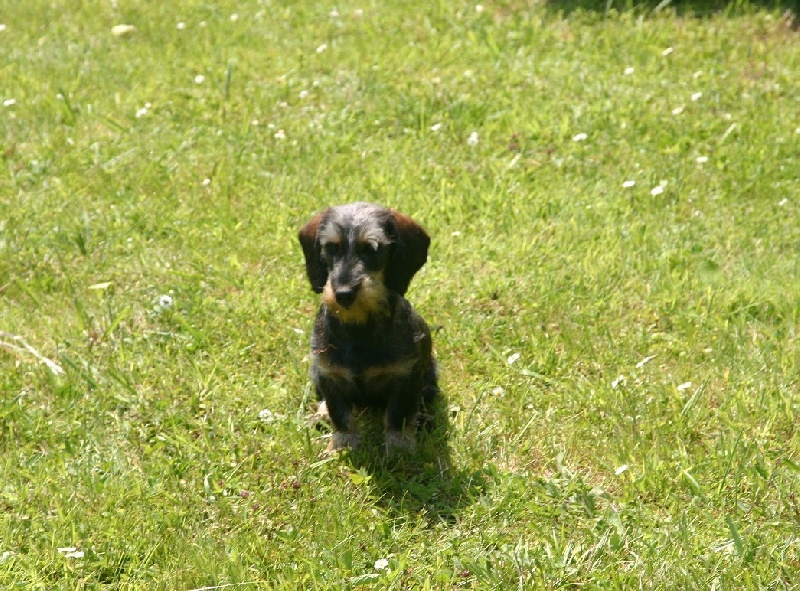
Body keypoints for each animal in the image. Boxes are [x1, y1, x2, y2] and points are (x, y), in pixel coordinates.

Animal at [298, 202, 438, 454]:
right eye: (331, 248)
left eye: (371, 249)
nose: (344, 294)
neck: (358, 327)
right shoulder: (329, 375)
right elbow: (340, 414)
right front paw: (341, 447)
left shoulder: (406, 377)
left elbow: (398, 414)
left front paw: (400, 449)